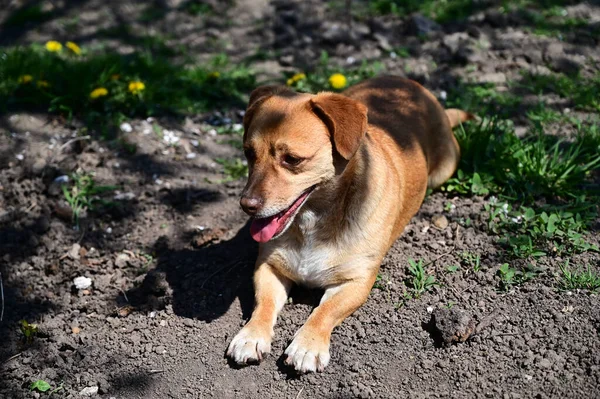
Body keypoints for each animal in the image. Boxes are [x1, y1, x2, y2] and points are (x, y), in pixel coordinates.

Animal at [225, 76, 474, 376]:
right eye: (249, 153)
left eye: (292, 160)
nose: (246, 204)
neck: (313, 219)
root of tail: (411, 83)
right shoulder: (269, 267)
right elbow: (263, 304)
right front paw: (251, 335)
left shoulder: (356, 282)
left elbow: (324, 311)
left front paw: (307, 344)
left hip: (445, 167)